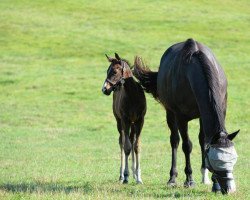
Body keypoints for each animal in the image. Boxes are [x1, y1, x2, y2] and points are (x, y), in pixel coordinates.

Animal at [101, 52, 146, 184]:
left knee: (131, 139)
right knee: (122, 141)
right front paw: (126, 175)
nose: (104, 89)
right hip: (119, 122)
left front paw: (138, 177)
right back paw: (121, 175)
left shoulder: (140, 120)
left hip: (132, 123)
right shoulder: (125, 120)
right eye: (107, 70)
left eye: (115, 71)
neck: (133, 96)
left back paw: (134, 174)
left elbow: (136, 146)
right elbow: (126, 147)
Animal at [134, 38, 239, 194]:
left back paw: (204, 177)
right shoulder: (181, 117)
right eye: (217, 161)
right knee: (175, 141)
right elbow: (187, 146)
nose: (230, 189)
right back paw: (172, 178)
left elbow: (205, 142)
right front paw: (189, 180)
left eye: (233, 159)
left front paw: (214, 184)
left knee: (202, 139)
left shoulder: (214, 111)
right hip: (170, 113)